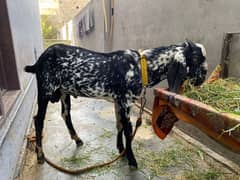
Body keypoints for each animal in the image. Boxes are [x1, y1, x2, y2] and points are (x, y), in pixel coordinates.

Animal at [24, 40, 208, 168]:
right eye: (197, 58)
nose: (203, 78)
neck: (141, 66)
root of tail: (39, 61)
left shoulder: (118, 102)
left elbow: (119, 125)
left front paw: (120, 149)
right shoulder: (126, 103)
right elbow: (127, 130)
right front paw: (131, 159)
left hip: (63, 92)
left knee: (65, 114)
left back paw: (77, 139)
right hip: (45, 90)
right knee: (38, 120)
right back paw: (40, 155)